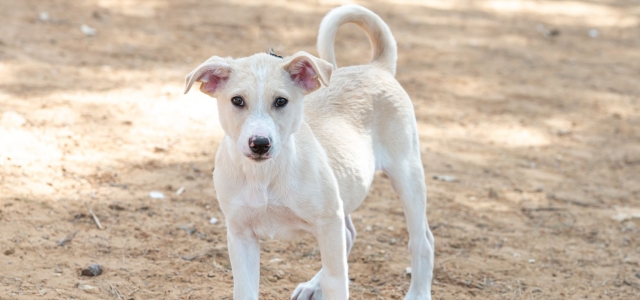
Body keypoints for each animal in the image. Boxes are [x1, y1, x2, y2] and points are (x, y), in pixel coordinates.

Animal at [185, 4, 436, 300]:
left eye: (281, 101)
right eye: (237, 100)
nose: (260, 143)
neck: (265, 174)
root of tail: (375, 67)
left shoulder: (328, 223)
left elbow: (336, 281)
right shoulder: (240, 234)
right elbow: (245, 290)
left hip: (407, 174)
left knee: (422, 241)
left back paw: (418, 292)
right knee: (349, 234)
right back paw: (312, 285)